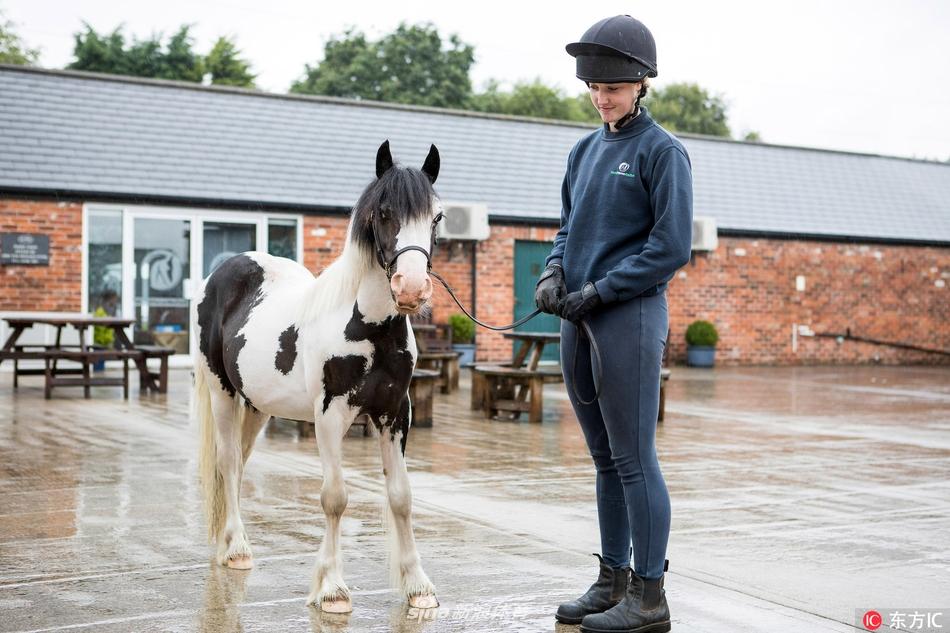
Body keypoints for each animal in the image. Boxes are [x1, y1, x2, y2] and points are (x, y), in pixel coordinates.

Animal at [196, 141, 446, 608]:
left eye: (437, 217)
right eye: (384, 211)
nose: (411, 289)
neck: (368, 325)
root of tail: (225, 270)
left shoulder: (394, 413)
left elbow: (401, 497)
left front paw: (418, 586)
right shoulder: (330, 416)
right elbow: (335, 498)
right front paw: (331, 588)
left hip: (257, 405)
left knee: (239, 463)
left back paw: (232, 542)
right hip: (222, 392)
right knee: (227, 461)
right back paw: (236, 549)